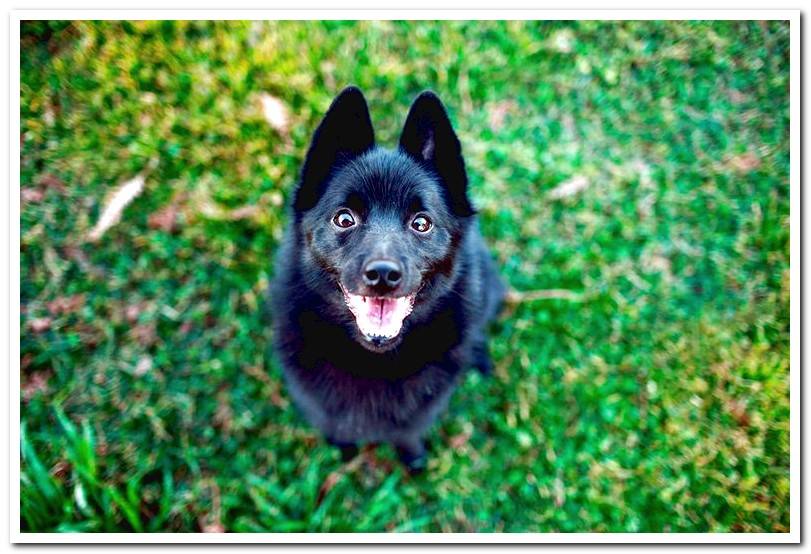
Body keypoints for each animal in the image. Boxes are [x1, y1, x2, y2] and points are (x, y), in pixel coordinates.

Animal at [270, 86, 504, 470]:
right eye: (344, 218)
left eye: (421, 222)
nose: (383, 274)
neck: (373, 361)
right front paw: (344, 449)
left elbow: (407, 434)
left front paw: (413, 459)